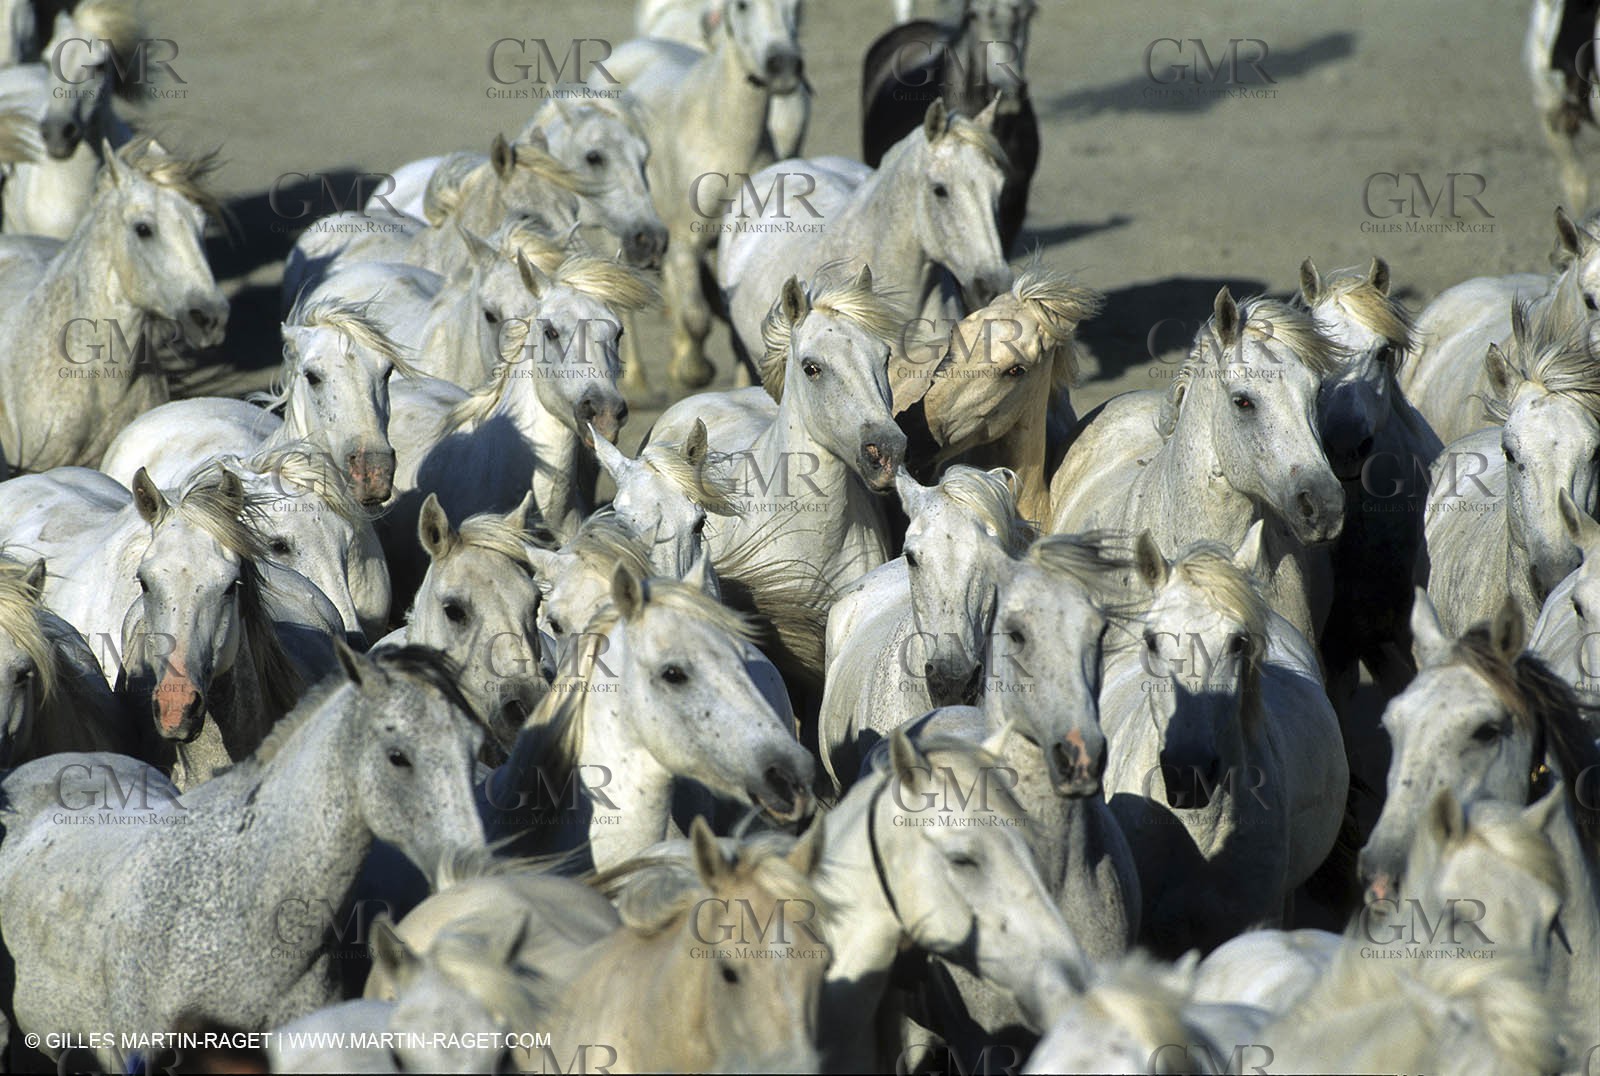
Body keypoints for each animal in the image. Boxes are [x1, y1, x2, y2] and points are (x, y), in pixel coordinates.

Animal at [599, 0, 803, 387]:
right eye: (742, 6)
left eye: (798, 6)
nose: (783, 65)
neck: (722, 133)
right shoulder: (685, 243)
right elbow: (697, 317)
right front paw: (694, 370)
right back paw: (637, 381)